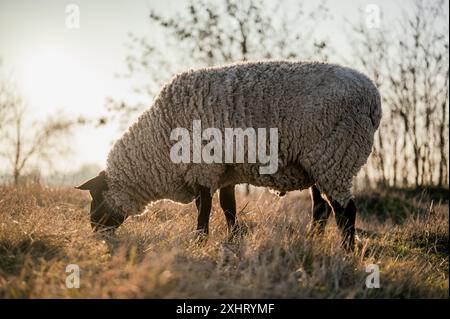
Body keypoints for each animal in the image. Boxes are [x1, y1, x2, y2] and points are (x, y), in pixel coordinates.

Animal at [76, 59, 380, 250]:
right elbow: (227, 207)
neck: (159, 142)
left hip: (335, 155)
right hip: (318, 163)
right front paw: (233, 238)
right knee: (321, 209)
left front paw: (199, 241)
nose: (95, 232)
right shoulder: (225, 170)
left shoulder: (203, 167)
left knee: (345, 211)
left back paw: (346, 253)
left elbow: (204, 209)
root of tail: (372, 99)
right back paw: (313, 243)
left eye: (96, 196)